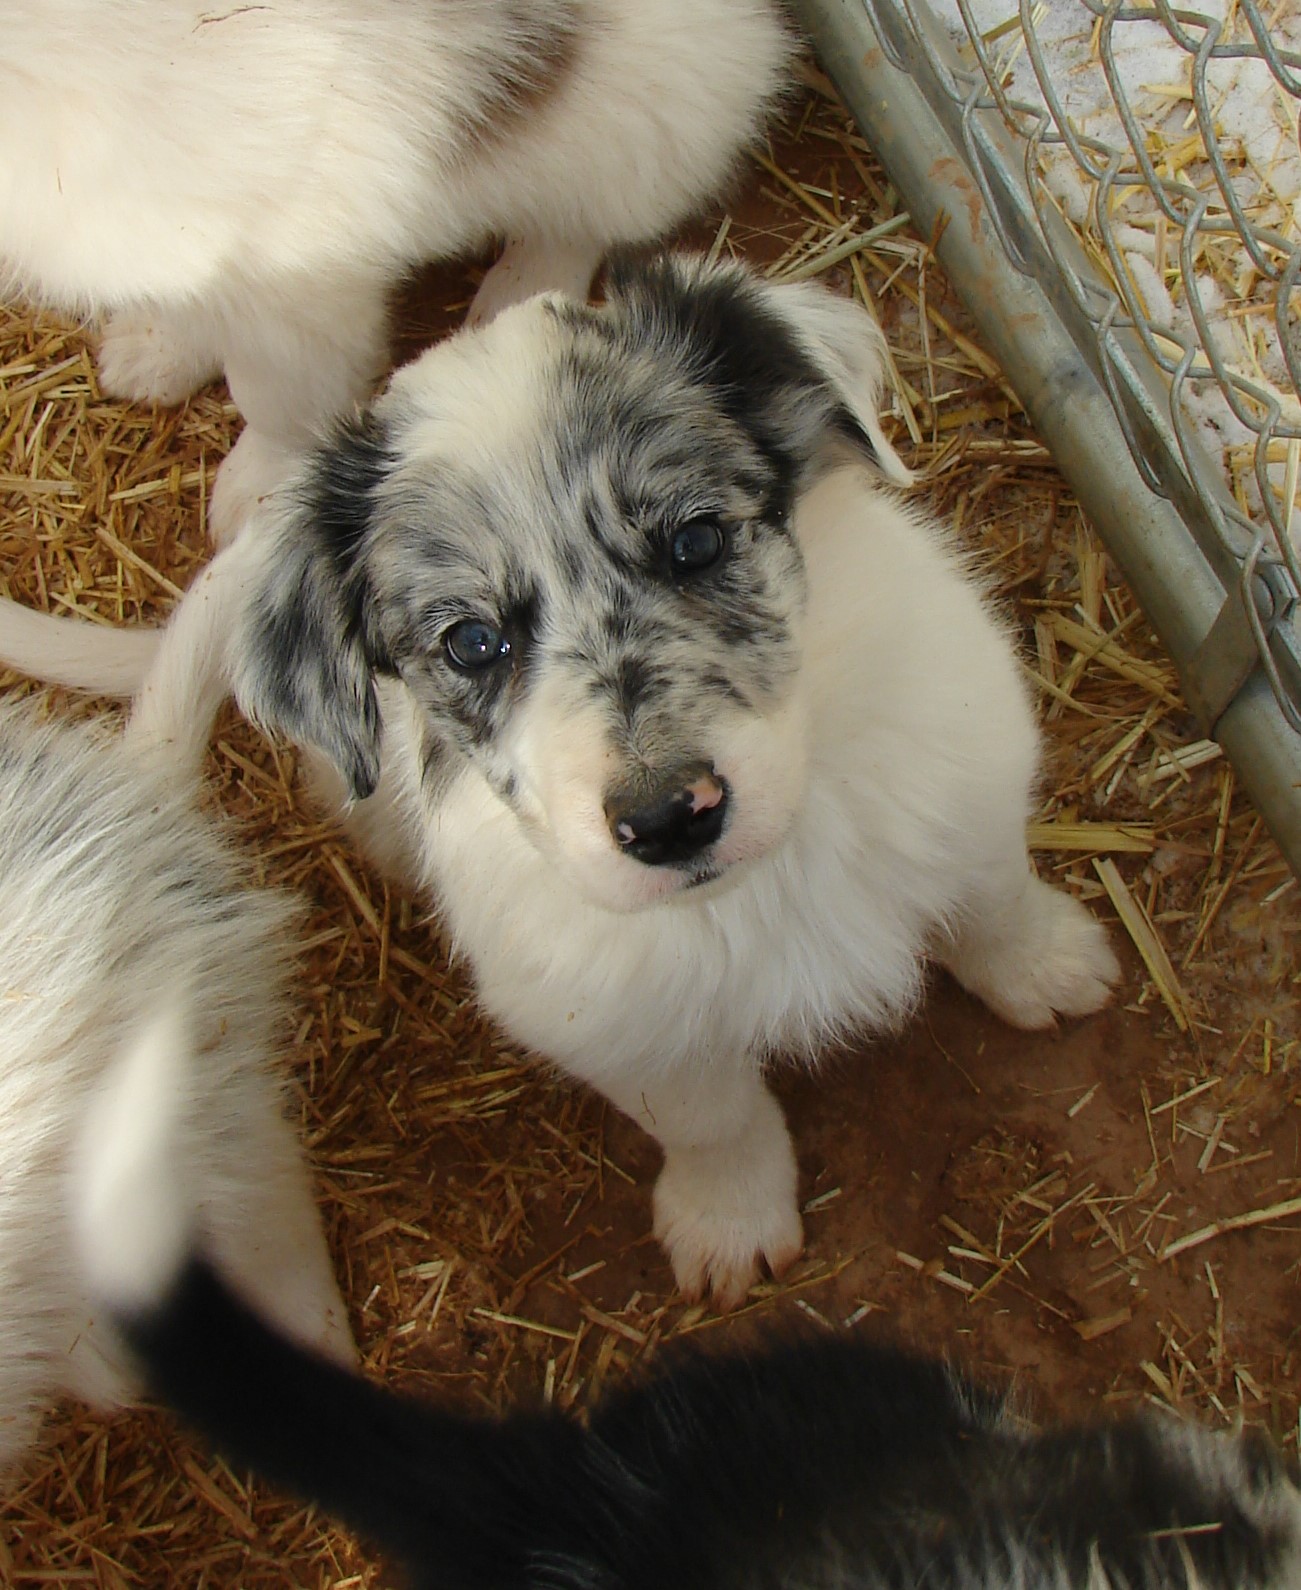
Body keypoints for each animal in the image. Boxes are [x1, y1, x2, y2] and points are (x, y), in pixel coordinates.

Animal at [0, 257, 1113, 1303]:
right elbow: (712, 1118)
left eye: (695, 539)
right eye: (471, 642)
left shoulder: (967, 774)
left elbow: (992, 900)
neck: (768, 880)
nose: (668, 820)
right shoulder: (618, 1027)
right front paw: (730, 1221)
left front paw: (1051, 970)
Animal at [2, 1, 792, 540]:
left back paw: (512, 296)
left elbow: (277, 400)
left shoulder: (295, 275)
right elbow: (185, 304)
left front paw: (253, 501)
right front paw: (152, 354)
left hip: (634, 132)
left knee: (583, 224)